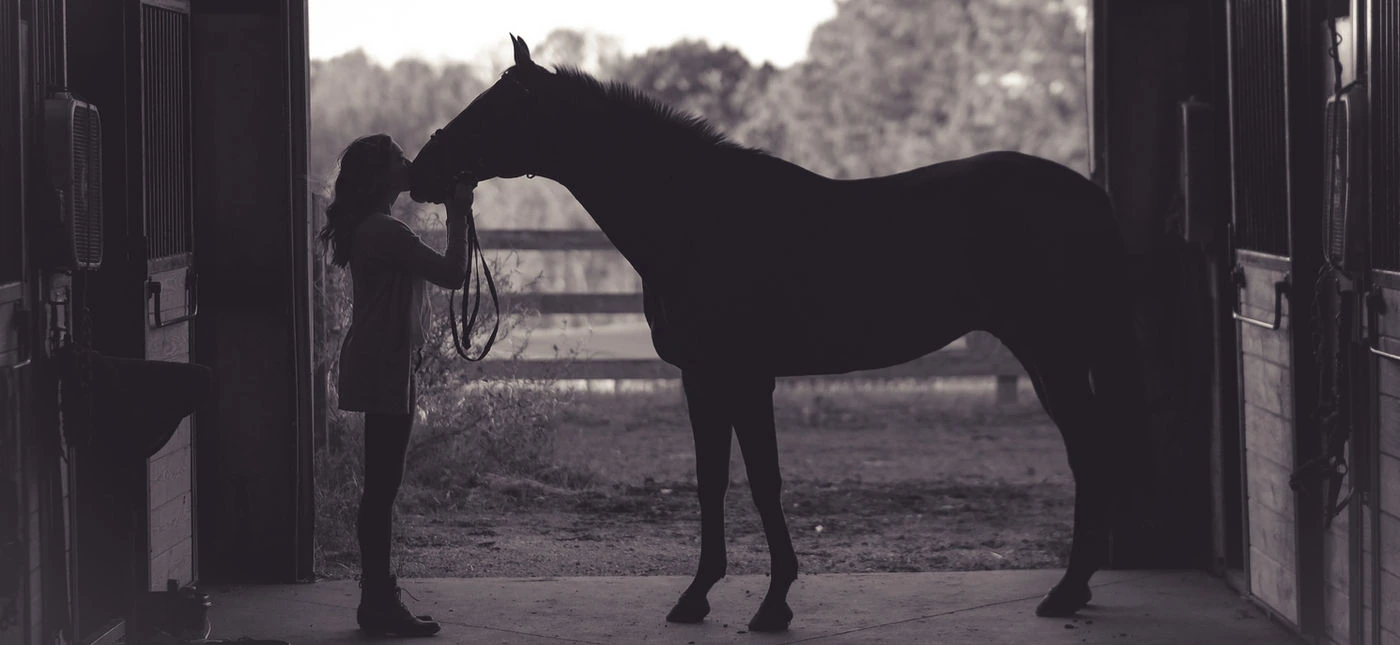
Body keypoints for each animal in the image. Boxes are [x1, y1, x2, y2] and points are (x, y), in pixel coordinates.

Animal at [410, 35, 1147, 633]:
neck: (695, 217)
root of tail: (1090, 195)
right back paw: (1074, 589)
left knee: (1091, 452)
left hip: (1053, 352)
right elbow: (711, 480)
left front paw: (773, 603)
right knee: (1090, 451)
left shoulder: (745, 375)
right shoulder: (701, 376)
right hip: (1048, 356)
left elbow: (764, 481)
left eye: (496, 108)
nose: (421, 171)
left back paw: (1066, 591)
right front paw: (697, 597)